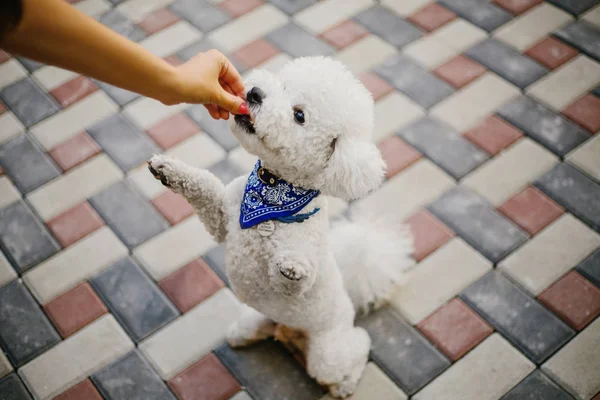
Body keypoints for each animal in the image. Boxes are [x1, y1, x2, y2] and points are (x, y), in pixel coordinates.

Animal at [148, 56, 414, 396]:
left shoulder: (291, 284)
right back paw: (246, 334)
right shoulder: (222, 217)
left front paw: (292, 266)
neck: (273, 190)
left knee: (357, 348)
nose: (255, 93)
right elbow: (203, 185)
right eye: (283, 86)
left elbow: (293, 277)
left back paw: (344, 385)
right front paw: (168, 170)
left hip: (329, 352)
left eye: (299, 115)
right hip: (260, 317)